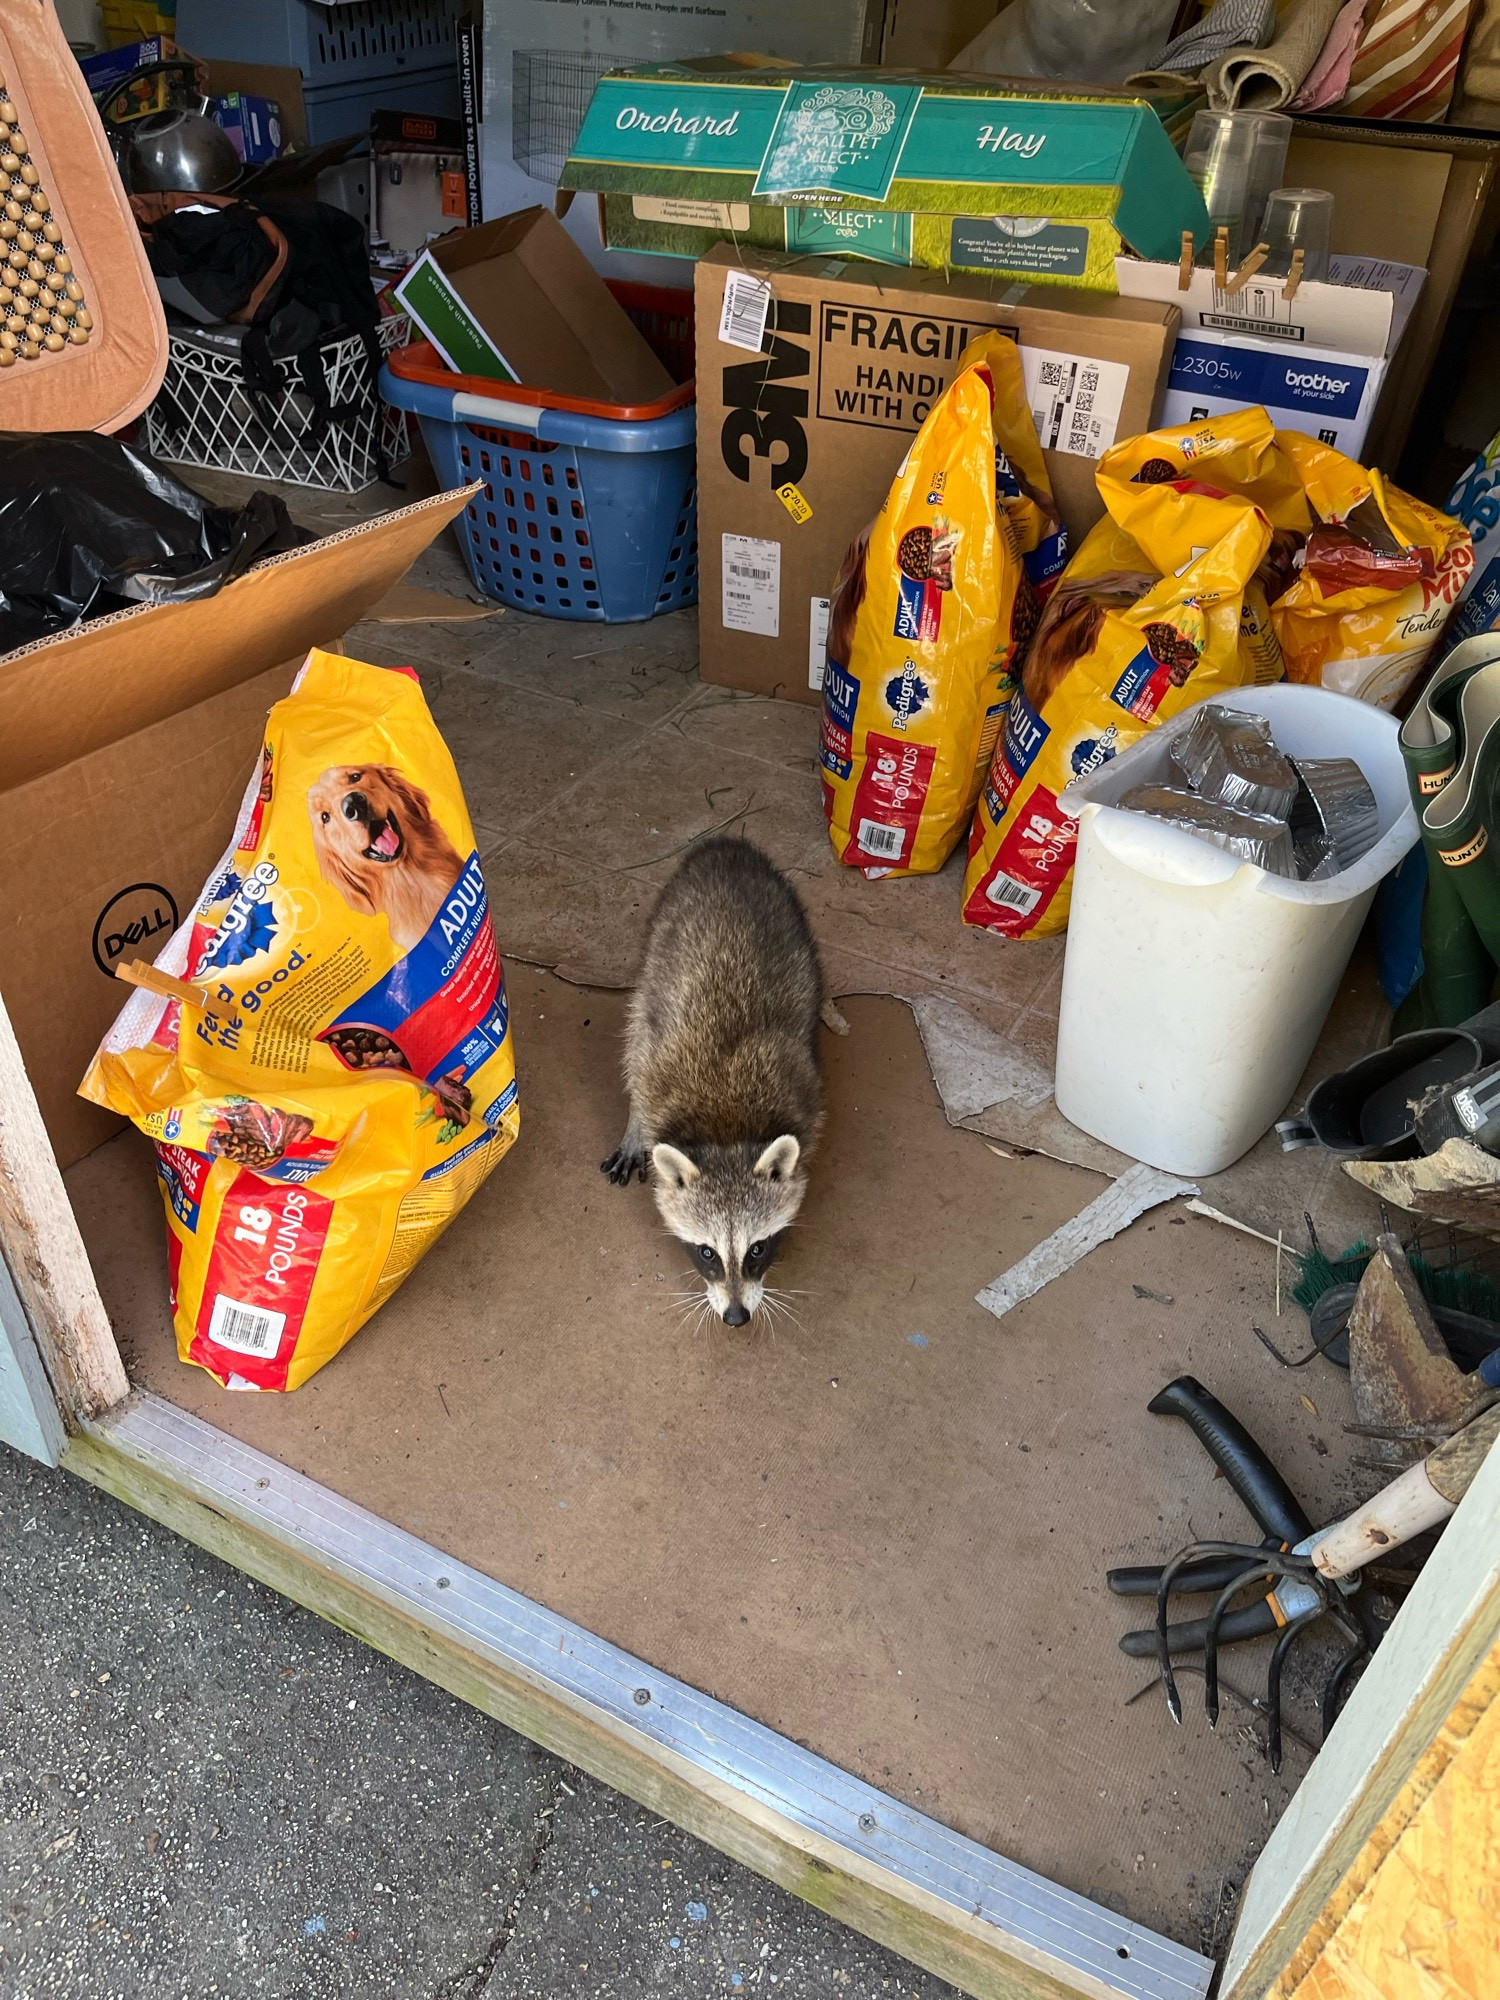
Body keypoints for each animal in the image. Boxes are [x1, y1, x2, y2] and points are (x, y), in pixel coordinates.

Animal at [600, 840, 828, 1328]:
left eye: (757, 1249)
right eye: (707, 1253)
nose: (736, 1317)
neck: (726, 1125)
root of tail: (726, 846)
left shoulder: (804, 1092)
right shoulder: (658, 1072)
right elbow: (640, 1071)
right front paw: (635, 1125)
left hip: (797, 933)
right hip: (659, 942)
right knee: (638, 1021)